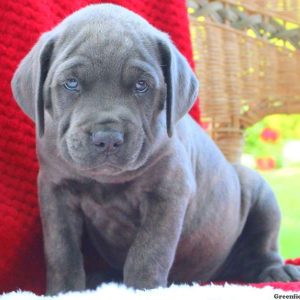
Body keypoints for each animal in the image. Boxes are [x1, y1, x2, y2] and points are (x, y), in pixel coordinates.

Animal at [11, 3, 300, 296]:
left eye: (142, 85)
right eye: (71, 83)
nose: (107, 138)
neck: (107, 180)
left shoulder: (168, 192)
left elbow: (148, 252)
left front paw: (142, 290)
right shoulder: (55, 192)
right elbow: (62, 251)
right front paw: (65, 291)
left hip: (258, 190)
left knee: (264, 245)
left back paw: (277, 270)